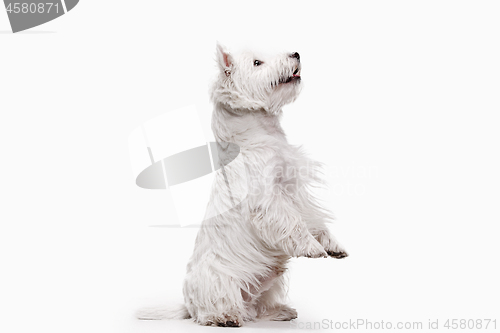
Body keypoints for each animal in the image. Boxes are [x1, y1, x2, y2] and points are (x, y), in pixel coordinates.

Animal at [137, 42, 348, 326]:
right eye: (257, 63)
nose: (296, 53)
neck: (260, 135)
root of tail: (187, 307)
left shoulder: (295, 190)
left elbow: (314, 220)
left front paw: (332, 245)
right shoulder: (269, 201)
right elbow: (295, 223)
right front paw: (312, 248)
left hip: (270, 284)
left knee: (256, 308)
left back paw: (280, 311)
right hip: (216, 281)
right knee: (212, 311)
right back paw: (226, 317)